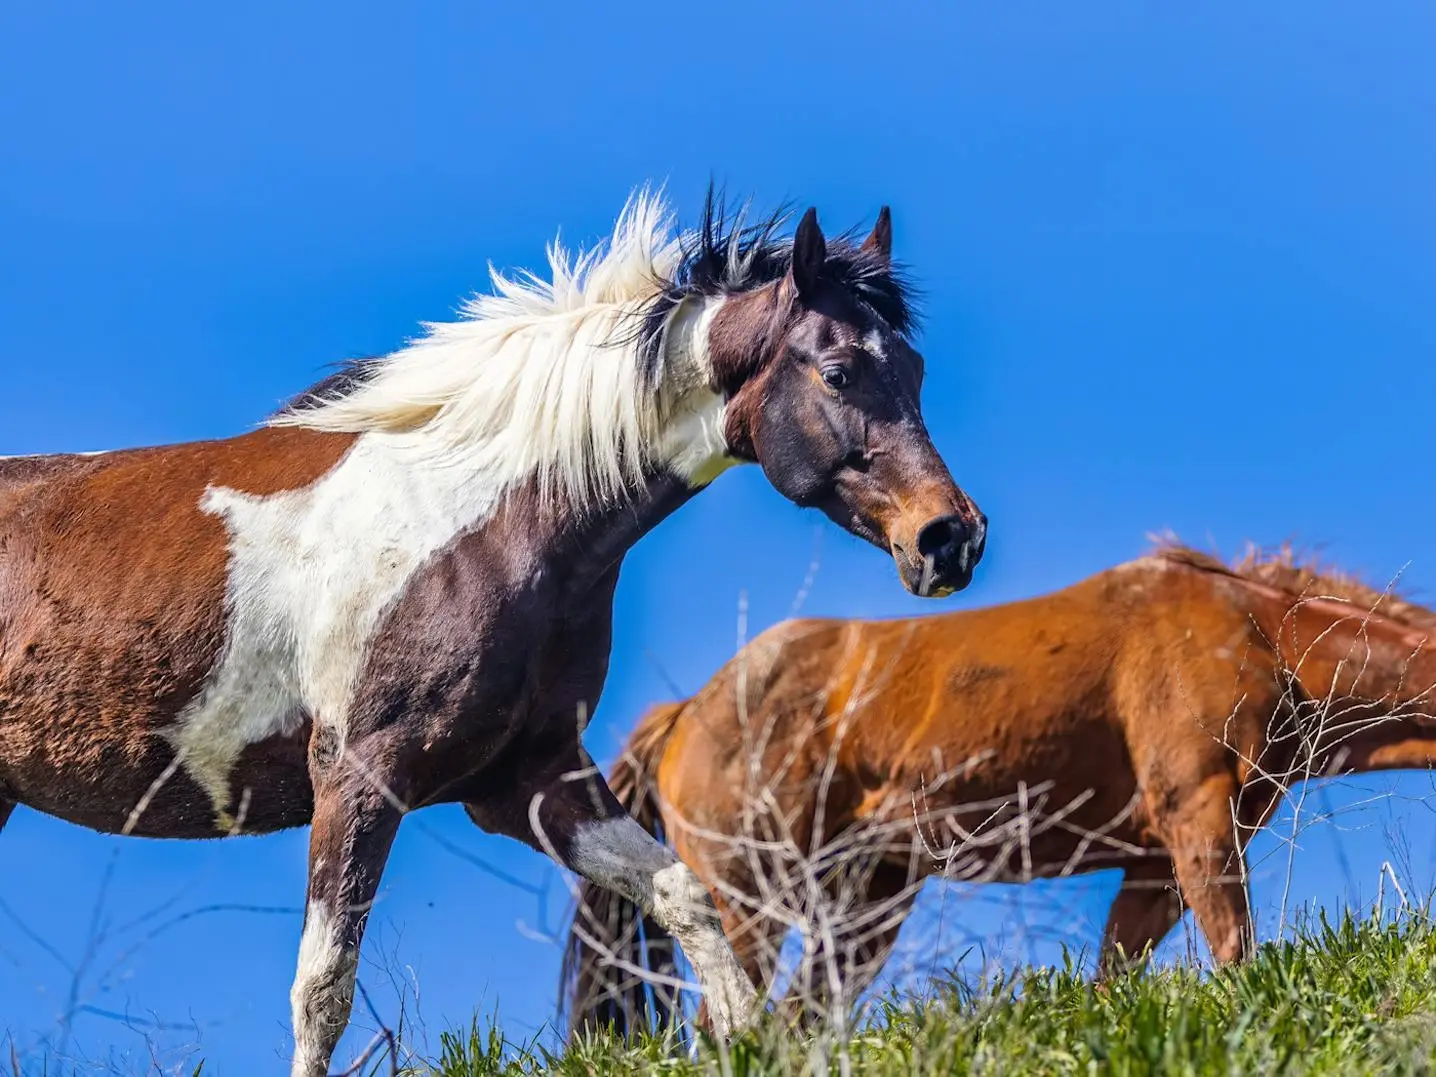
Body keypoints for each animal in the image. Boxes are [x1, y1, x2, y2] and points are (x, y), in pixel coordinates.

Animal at [0, 189, 987, 1074]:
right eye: (838, 372)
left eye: (915, 372)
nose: (950, 537)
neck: (482, 523)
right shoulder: (359, 775)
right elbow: (323, 986)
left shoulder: (528, 778)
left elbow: (683, 896)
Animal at [560, 542, 1436, 1039]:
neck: (1257, 632)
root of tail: (687, 711)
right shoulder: (1197, 821)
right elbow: (1235, 957)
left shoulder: (1154, 863)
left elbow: (1113, 979)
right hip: (749, 894)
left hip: (868, 905)